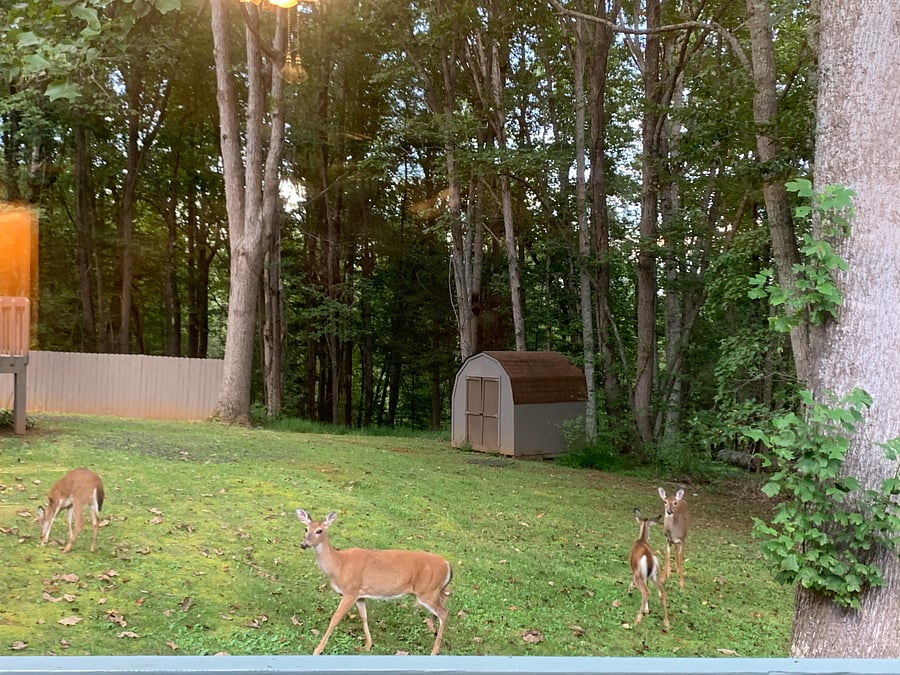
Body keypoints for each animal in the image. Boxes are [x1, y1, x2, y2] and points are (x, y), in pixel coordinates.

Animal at [296, 509, 452, 655]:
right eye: (306, 529)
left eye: (319, 530)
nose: (304, 544)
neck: (339, 565)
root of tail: (448, 564)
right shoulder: (360, 595)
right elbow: (364, 617)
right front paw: (368, 645)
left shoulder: (351, 591)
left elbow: (335, 619)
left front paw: (318, 650)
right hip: (433, 590)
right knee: (445, 596)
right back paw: (432, 626)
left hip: (426, 591)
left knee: (444, 612)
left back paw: (434, 649)